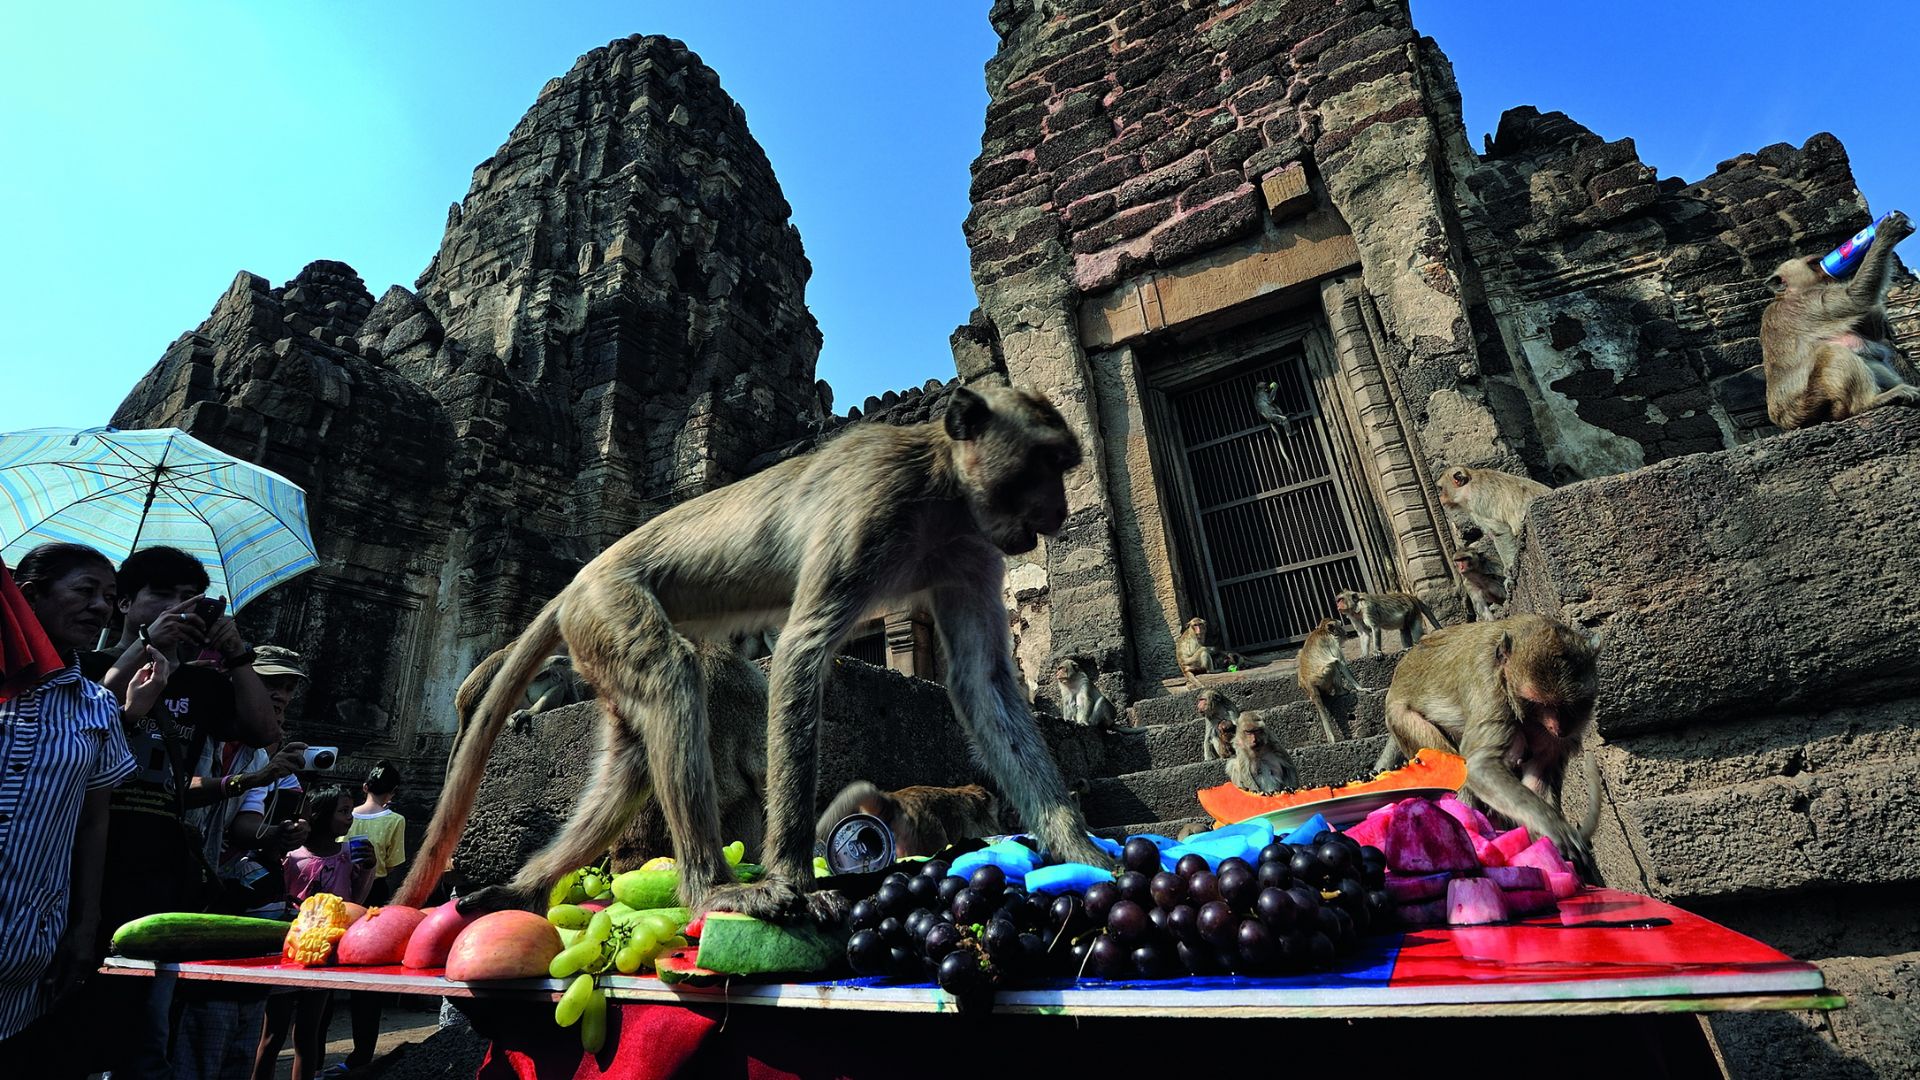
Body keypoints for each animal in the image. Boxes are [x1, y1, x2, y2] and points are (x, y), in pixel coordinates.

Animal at [1371, 614, 1603, 878]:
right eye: (1538, 703)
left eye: (1569, 705)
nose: (1559, 729)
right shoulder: (1489, 686)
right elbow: (1478, 766)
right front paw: (1553, 826)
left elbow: (1538, 775)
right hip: (1401, 717)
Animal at [1762, 210, 1920, 429]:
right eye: (1814, 264)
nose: (1827, 270)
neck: (1789, 294)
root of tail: (1790, 422)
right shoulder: (1806, 304)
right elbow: (1855, 299)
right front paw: (1883, 234)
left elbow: (1870, 330)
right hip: (1816, 404)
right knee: (1833, 352)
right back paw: (1870, 402)